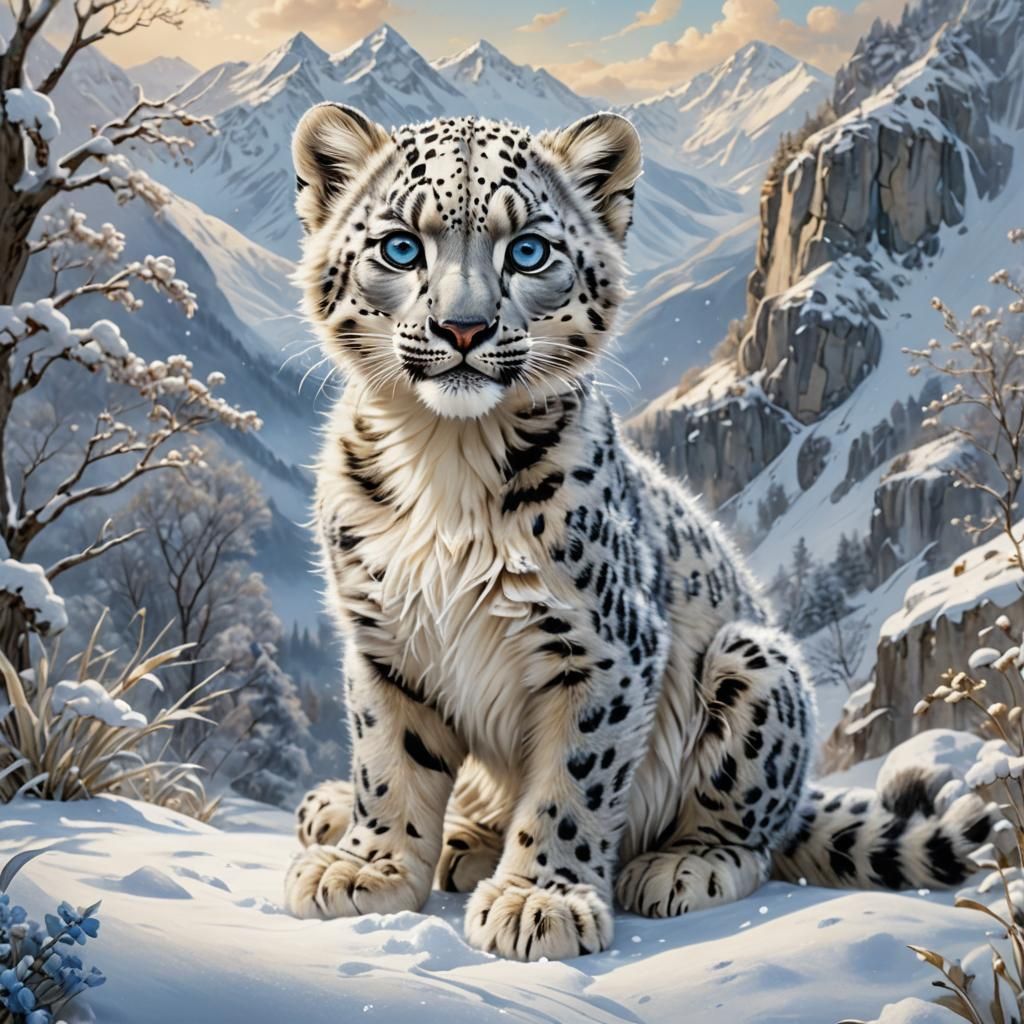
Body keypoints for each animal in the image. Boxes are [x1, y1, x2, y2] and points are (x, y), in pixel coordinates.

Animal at [282, 102, 994, 961]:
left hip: (754, 664)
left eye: (528, 250)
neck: (446, 459)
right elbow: (389, 763)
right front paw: (368, 868)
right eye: (399, 246)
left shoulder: (602, 646)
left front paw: (539, 901)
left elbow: (572, 781)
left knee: (753, 834)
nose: (463, 328)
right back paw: (413, 826)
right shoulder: (386, 640)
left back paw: (680, 866)